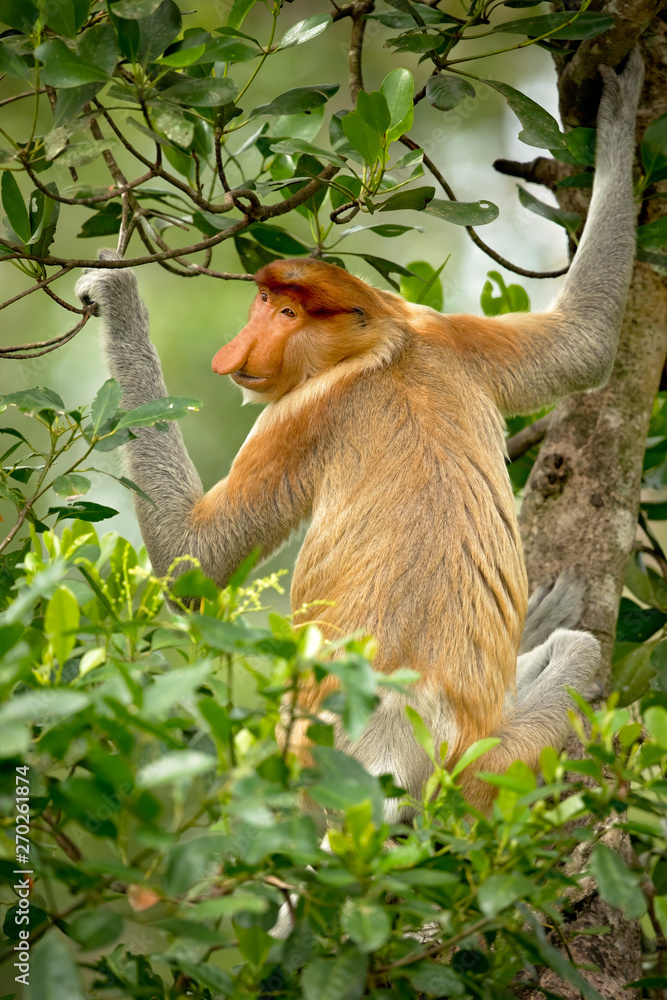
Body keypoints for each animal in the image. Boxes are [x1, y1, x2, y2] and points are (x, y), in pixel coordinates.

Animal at [76, 51, 642, 818]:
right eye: (263, 300)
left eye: (286, 313)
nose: (236, 353)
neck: (383, 346)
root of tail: (402, 745)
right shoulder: (445, 333)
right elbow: (585, 342)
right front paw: (620, 118)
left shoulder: (301, 414)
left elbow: (192, 563)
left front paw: (117, 295)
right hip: (497, 764)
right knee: (579, 654)